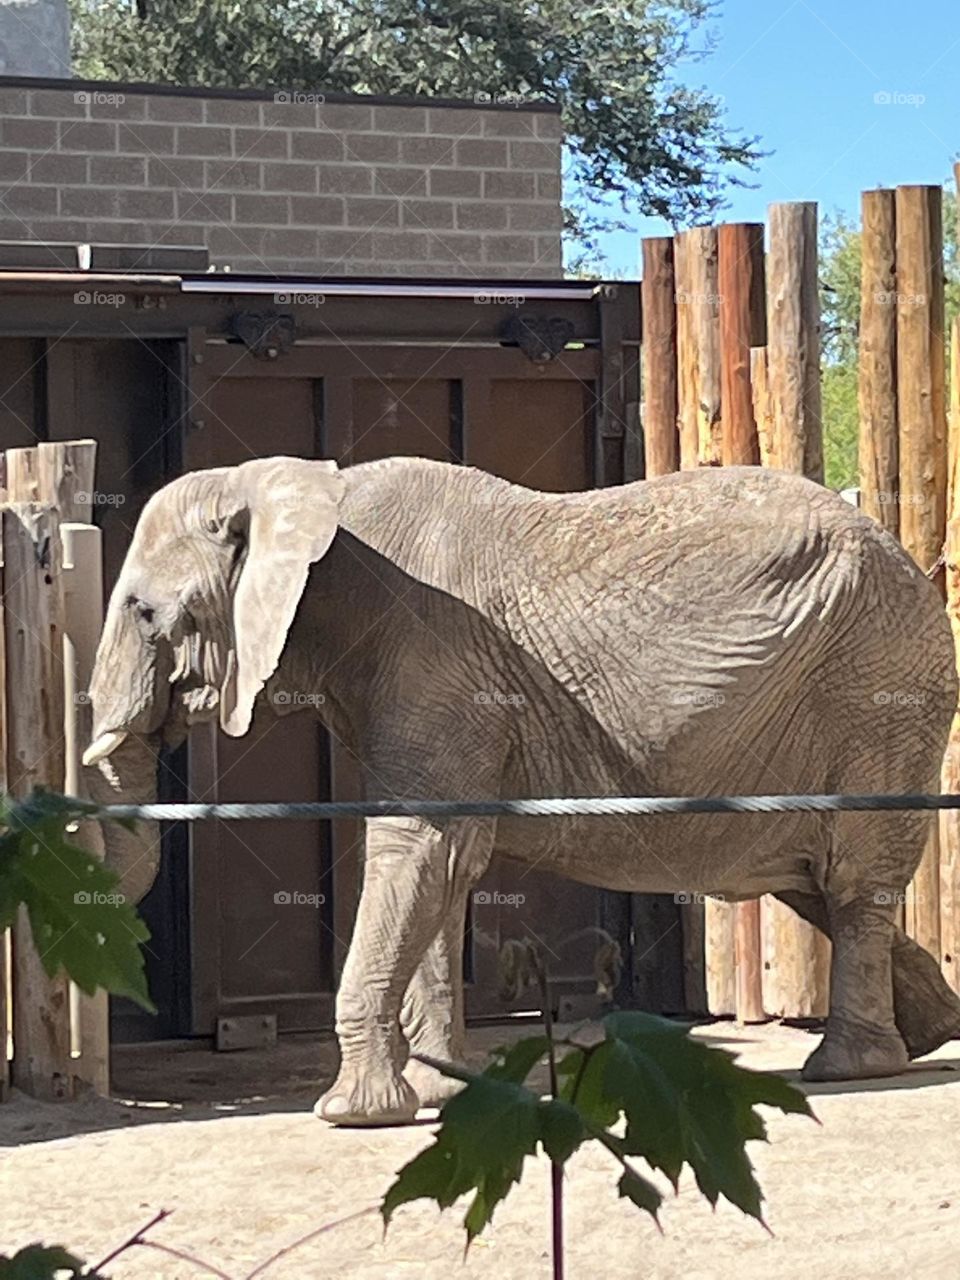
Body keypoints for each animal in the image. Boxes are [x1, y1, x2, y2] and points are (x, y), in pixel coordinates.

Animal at [82, 454, 960, 1125]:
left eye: (145, 612)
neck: (298, 490)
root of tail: (913, 563)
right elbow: (442, 867)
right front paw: (437, 1093)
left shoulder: (434, 660)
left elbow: (417, 850)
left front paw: (351, 1115)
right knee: (813, 881)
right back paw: (926, 1035)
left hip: (879, 688)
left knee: (851, 879)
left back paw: (848, 1069)